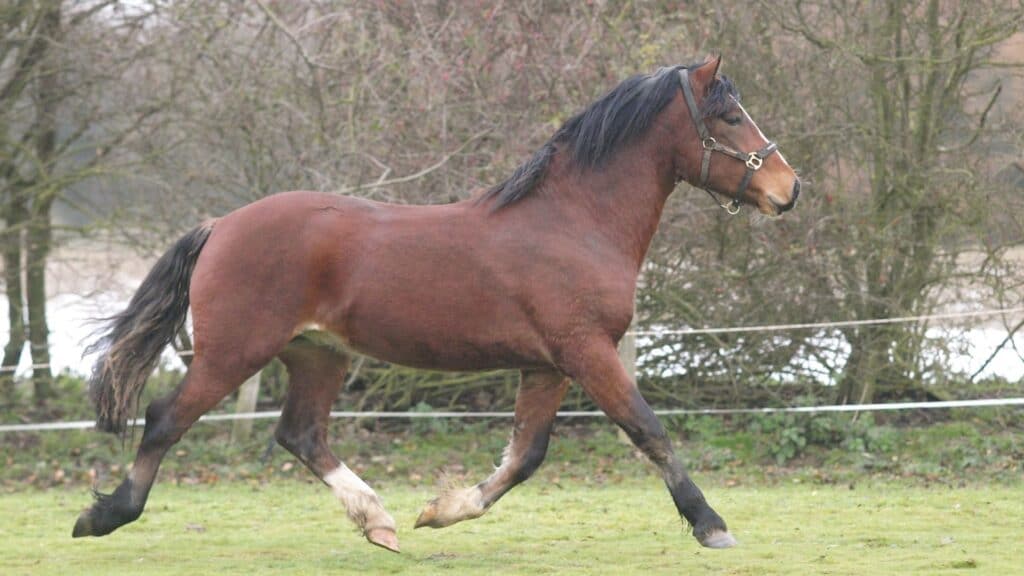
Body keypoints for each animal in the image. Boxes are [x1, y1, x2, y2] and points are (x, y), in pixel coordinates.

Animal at [75, 57, 802, 553]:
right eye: (729, 117)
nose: (789, 188)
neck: (574, 222)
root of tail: (221, 225)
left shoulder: (547, 365)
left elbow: (526, 455)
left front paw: (441, 510)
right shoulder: (587, 353)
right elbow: (648, 431)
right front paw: (711, 525)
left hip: (317, 355)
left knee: (300, 434)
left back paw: (380, 521)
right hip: (234, 353)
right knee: (165, 419)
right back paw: (105, 515)